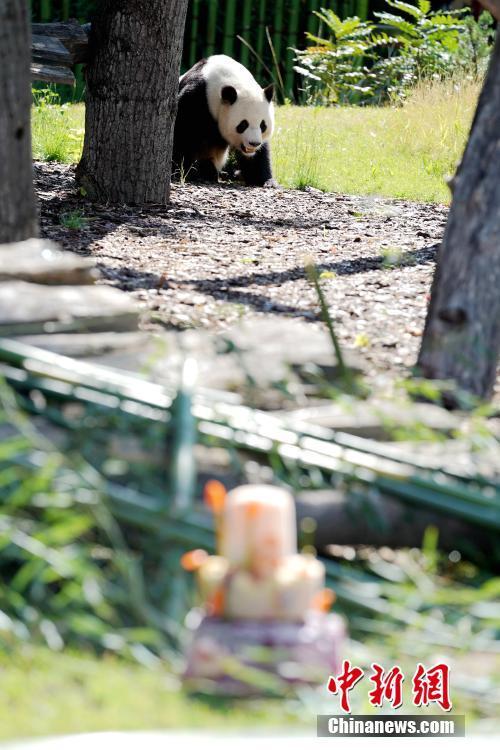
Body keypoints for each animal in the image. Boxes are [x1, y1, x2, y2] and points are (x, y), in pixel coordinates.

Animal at [173, 55, 276, 188]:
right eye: (243, 124)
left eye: (263, 125)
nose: (254, 143)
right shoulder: (197, 97)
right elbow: (182, 132)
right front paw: (183, 171)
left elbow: (260, 154)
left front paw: (266, 181)